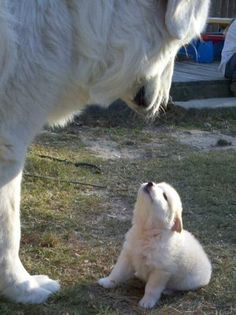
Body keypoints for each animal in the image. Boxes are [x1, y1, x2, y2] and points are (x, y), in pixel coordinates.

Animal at [0, 0, 210, 306]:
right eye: (182, 44)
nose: (165, 102)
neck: (74, 17)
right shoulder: (9, 143)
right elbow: (9, 231)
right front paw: (23, 288)